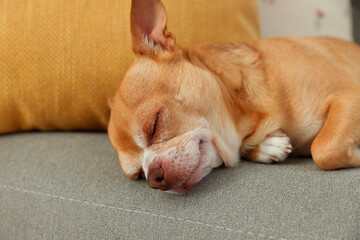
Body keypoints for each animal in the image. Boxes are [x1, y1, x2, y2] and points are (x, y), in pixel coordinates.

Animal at [108, 0, 360, 192]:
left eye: (155, 123)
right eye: (139, 175)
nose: (154, 178)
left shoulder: (349, 96)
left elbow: (324, 149)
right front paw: (268, 146)